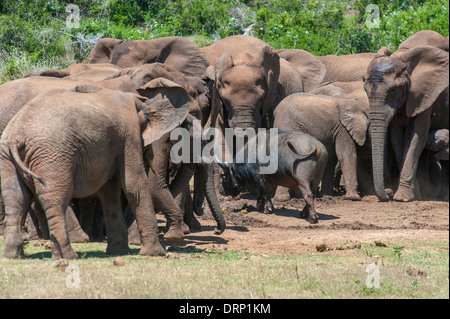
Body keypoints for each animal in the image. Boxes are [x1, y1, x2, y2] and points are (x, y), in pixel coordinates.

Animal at [0, 79, 190, 260]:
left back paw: (14, 255)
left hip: (8, 156)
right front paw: (154, 253)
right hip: (53, 154)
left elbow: (109, 191)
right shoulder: (129, 134)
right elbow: (133, 184)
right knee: (56, 199)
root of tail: (17, 136)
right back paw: (68, 256)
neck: (138, 101)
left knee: (16, 199)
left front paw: (118, 252)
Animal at [364, 34, 448, 202]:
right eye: (365, 90)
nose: (387, 193)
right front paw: (413, 194)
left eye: (392, 91)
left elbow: (416, 134)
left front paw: (402, 197)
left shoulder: (424, 93)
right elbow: (397, 137)